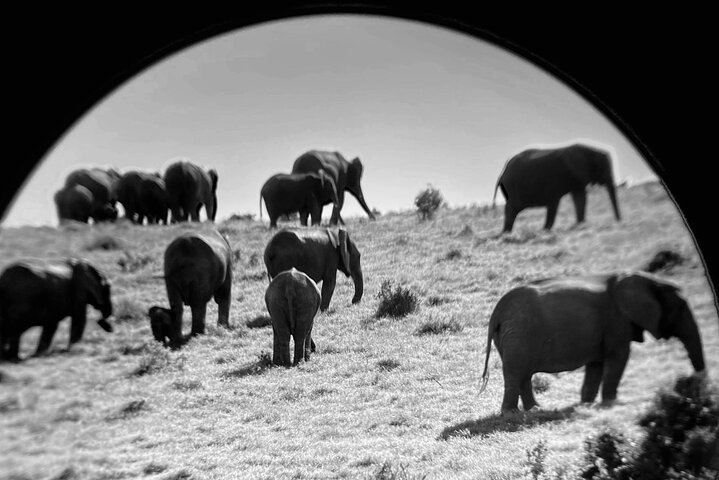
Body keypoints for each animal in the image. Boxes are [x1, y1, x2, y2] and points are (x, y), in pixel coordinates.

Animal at [479, 271, 706, 414]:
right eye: (681, 308)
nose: (695, 390)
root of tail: (496, 313)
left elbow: (596, 365)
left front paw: (585, 404)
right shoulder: (616, 321)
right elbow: (619, 357)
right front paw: (612, 404)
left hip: (512, 336)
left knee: (523, 375)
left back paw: (536, 410)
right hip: (518, 334)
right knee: (516, 373)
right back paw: (512, 414)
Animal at [492, 143, 621, 232]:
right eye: (603, 168)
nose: (619, 221)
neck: (590, 150)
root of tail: (503, 171)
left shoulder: (576, 180)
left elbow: (579, 197)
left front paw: (580, 224)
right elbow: (569, 199)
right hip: (514, 188)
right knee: (512, 208)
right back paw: (507, 233)